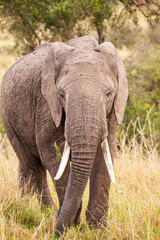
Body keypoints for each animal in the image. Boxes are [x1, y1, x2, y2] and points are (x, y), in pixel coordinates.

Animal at [0, 36, 127, 238]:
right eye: (61, 95)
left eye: (109, 94)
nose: (56, 235)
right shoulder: (46, 104)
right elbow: (52, 153)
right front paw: (72, 224)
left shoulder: (112, 113)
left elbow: (105, 157)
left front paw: (97, 231)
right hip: (7, 117)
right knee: (33, 165)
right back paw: (46, 213)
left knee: (26, 165)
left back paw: (25, 204)